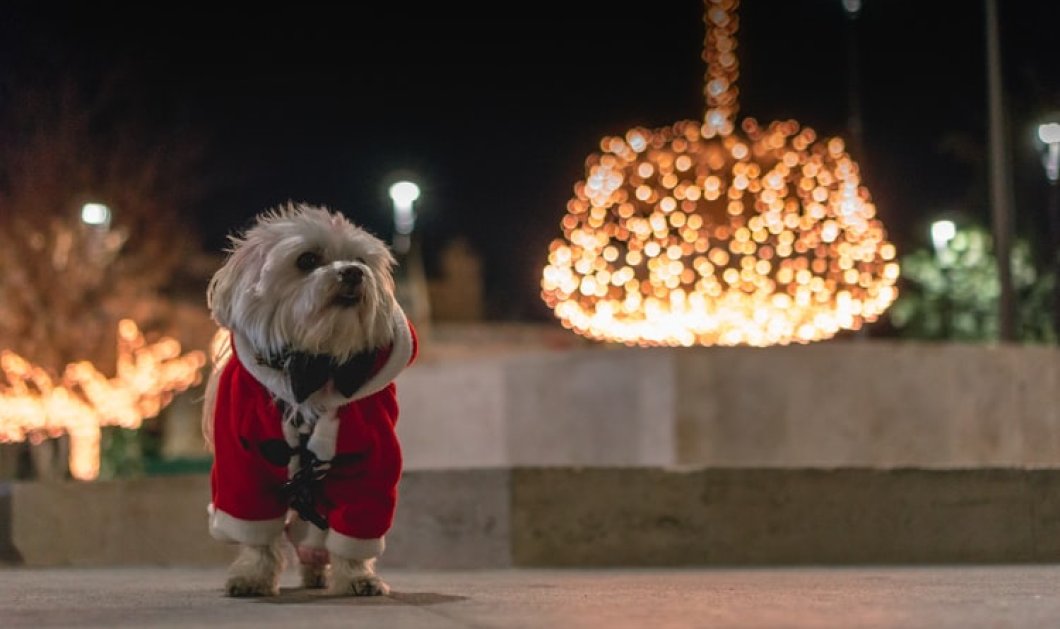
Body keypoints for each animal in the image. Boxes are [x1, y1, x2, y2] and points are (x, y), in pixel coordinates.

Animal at [200, 204, 415, 598]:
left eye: (360, 260)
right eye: (308, 260)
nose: (353, 272)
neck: (315, 365)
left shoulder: (371, 457)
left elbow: (358, 522)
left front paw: (357, 576)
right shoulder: (243, 461)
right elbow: (255, 528)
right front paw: (253, 575)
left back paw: (316, 568)